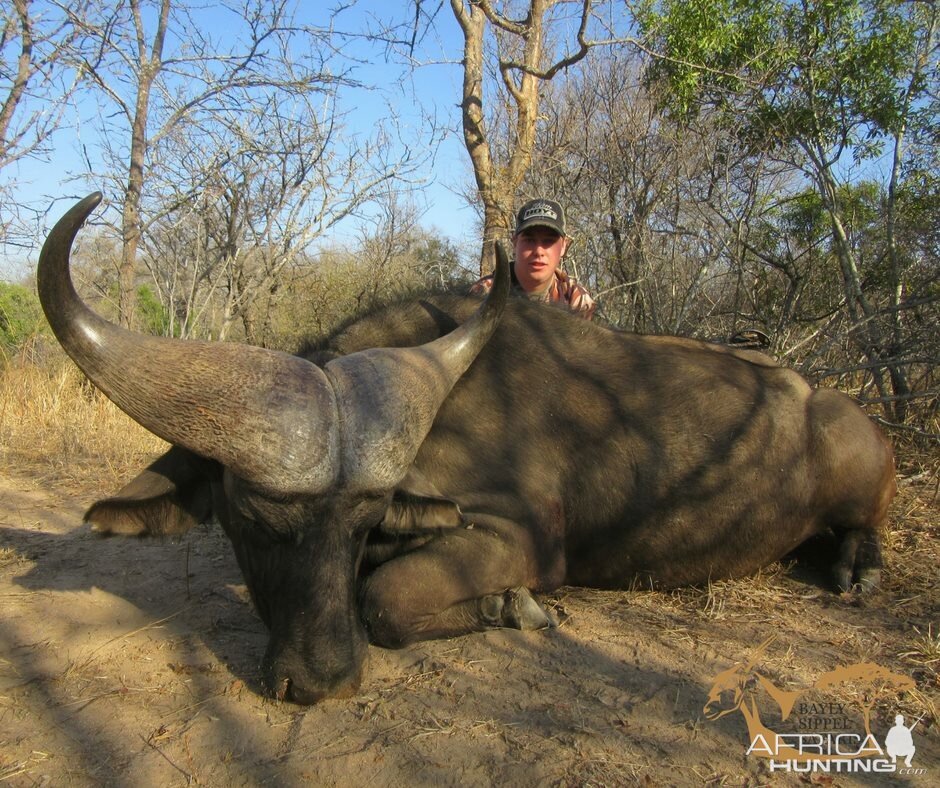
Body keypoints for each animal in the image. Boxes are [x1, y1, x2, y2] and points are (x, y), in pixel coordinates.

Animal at [38, 194, 896, 704]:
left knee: (863, 529)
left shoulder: (522, 539)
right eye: (250, 521)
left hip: (860, 485)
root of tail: (826, 402)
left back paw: (858, 570)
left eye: (363, 521)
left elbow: (385, 598)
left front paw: (513, 606)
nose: (323, 680)